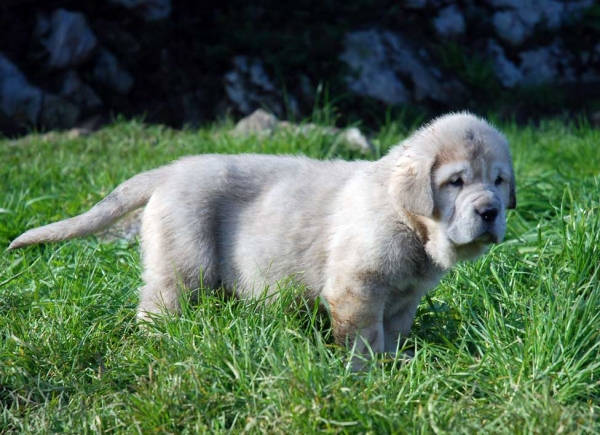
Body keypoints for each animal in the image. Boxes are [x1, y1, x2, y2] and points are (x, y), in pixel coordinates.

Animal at [8, 111, 516, 368]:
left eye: (498, 180)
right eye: (456, 182)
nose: (490, 211)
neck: (408, 221)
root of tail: (168, 171)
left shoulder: (404, 298)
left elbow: (391, 333)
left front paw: (396, 366)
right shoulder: (356, 288)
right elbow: (362, 340)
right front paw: (366, 376)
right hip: (183, 264)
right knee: (158, 304)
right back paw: (164, 341)